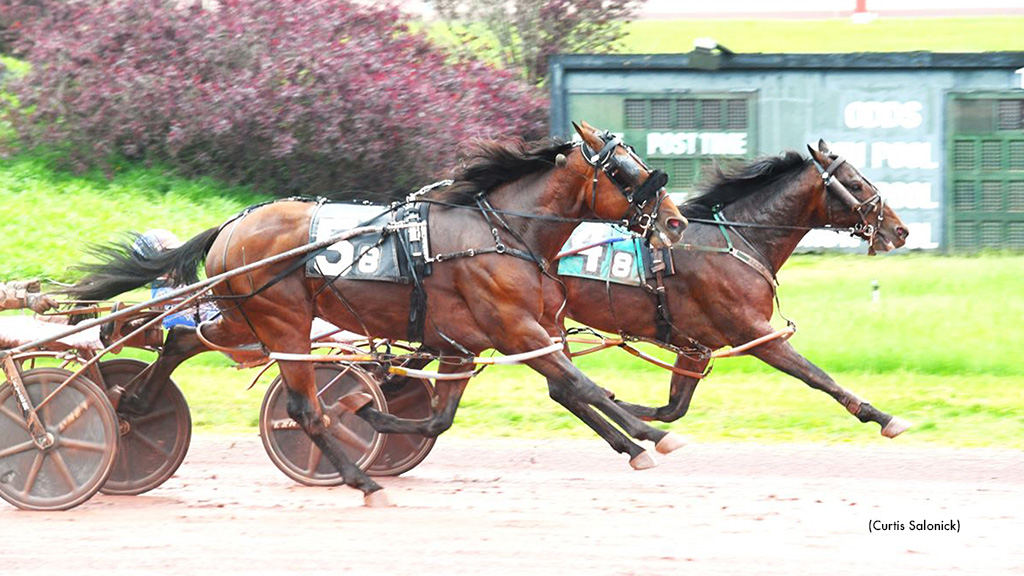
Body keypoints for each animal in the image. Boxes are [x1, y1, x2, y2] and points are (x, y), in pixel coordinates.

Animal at [66, 120, 688, 502]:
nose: (677, 220)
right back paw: (363, 482)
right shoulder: (515, 329)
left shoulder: (477, 341)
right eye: (626, 171)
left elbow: (450, 415)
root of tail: (232, 224)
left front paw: (371, 411)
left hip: (244, 318)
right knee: (303, 407)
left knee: (180, 340)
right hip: (283, 323)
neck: (502, 232)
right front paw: (651, 438)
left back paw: (134, 403)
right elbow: (581, 385)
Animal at [548, 141, 917, 436]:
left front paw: (620, 403)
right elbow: (817, 376)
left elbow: (672, 409)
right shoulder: (753, 332)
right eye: (855, 184)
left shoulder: (696, 347)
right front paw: (883, 417)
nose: (900, 230)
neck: (740, 239)